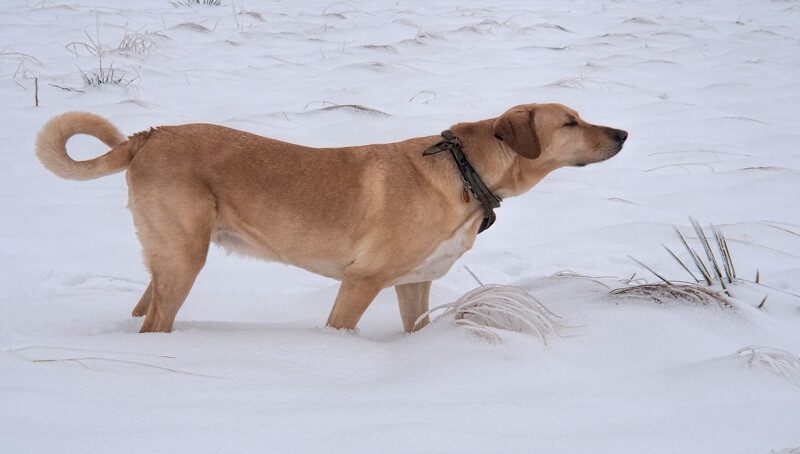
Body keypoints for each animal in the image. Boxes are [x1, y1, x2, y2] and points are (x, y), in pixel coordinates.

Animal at [36, 103, 624, 332]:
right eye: (570, 122)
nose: (622, 133)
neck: (466, 170)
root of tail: (149, 135)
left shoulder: (413, 284)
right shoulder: (361, 281)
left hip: (168, 258)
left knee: (144, 305)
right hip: (185, 258)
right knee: (156, 321)